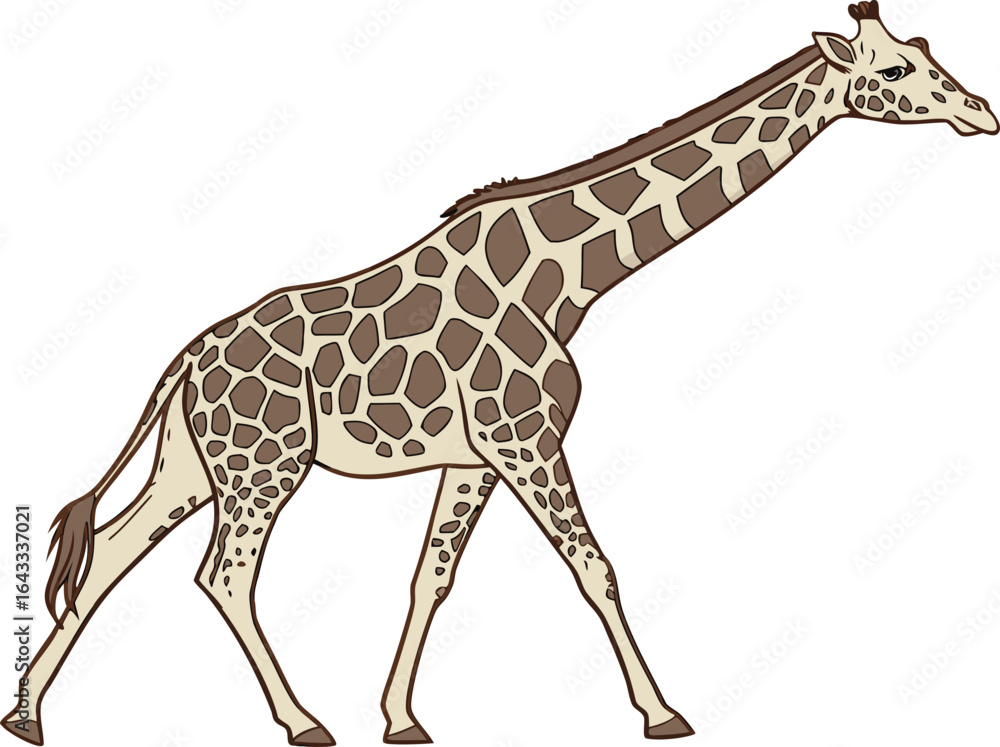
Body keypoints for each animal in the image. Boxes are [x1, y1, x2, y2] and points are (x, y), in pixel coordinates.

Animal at [5, 3, 996, 745]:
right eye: (895, 72)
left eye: (925, 51)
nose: (981, 111)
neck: (572, 277)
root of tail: (186, 360)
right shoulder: (525, 436)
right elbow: (595, 564)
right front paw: (663, 712)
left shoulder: (474, 454)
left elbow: (430, 578)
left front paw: (401, 718)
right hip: (264, 462)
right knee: (223, 575)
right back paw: (302, 721)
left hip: (194, 461)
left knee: (111, 551)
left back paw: (28, 716)